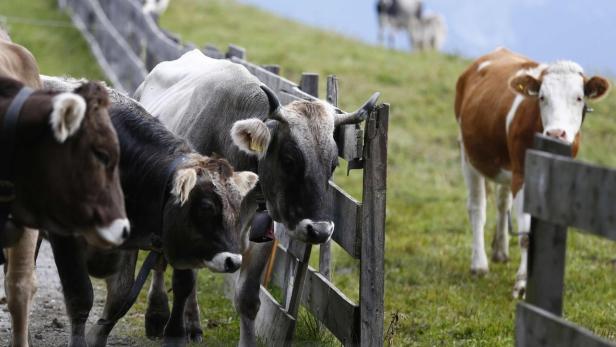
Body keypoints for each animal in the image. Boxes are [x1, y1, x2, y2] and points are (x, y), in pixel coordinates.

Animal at [41, 77, 258, 347]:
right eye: (206, 207)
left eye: (237, 207)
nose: (233, 261)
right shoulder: (65, 238)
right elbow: (80, 297)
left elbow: (120, 299)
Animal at [132, 49, 378, 347]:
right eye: (289, 160)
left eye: (332, 164)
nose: (319, 230)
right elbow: (182, 281)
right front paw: (173, 332)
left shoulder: (260, 235)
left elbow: (248, 299)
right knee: (160, 261)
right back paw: (157, 314)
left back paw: (192, 323)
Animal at [454, 47, 608, 300]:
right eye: (542, 97)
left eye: (579, 98)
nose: (556, 133)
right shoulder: (523, 176)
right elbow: (526, 235)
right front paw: (522, 284)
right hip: (467, 153)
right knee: (477, 208)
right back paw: (479, 265)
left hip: (506, 166)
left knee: (502, 202)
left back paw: (500, 251)